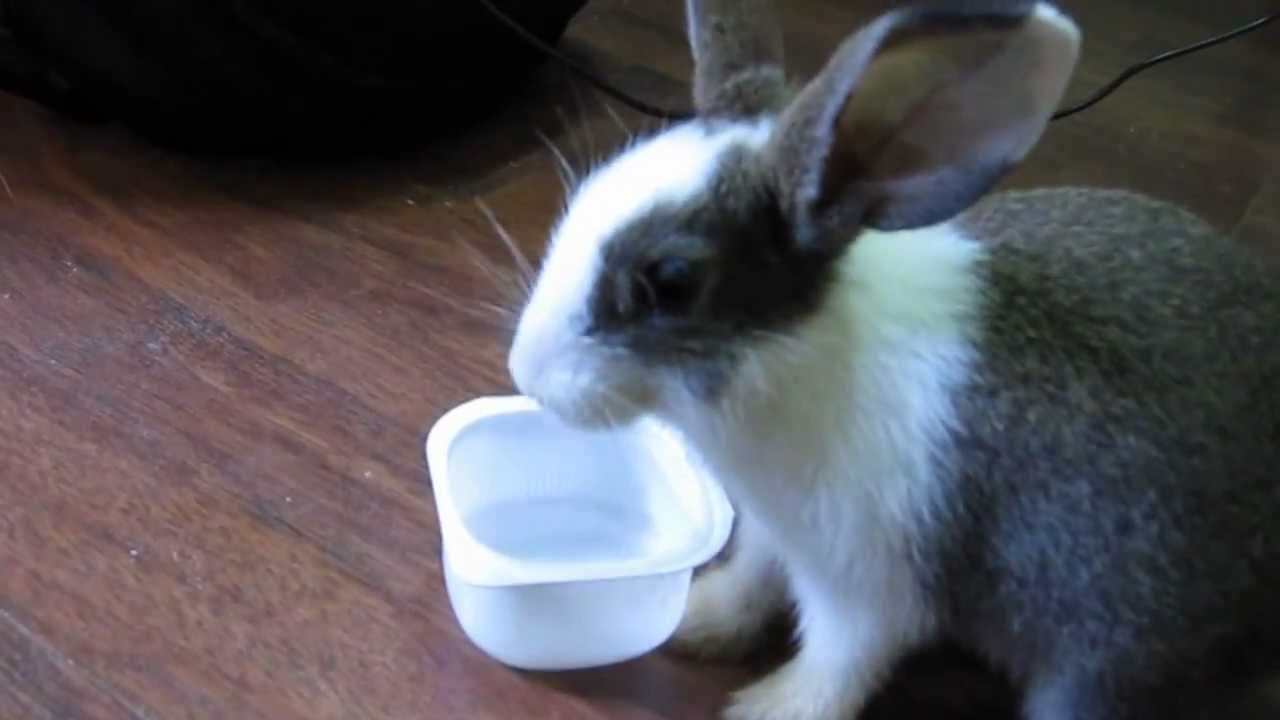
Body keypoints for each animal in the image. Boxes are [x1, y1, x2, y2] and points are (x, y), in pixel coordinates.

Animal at [505, 0, 1280, 718]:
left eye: (670, 281)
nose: (526, 374)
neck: (797, 352)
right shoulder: (774, 533)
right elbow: (753, 580)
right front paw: (698, 620)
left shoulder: (869, 581)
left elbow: (841, 659)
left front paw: (769, 707)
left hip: (1105, 661)